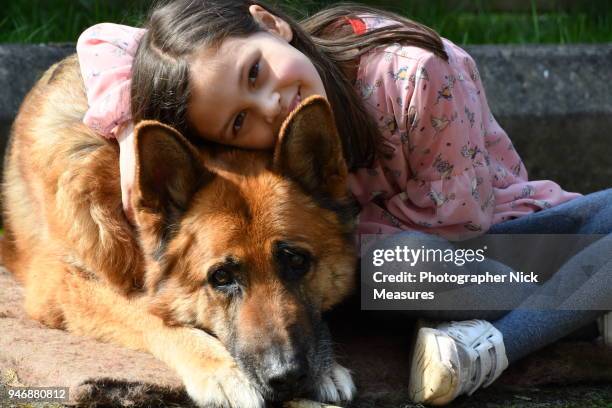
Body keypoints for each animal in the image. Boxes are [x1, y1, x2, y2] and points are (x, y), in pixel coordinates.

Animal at [2, 55, 358, 408]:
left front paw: (328, 369)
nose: (287, 378)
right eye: (220, 277)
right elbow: (147, 314)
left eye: (296, 261)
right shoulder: (59, 283)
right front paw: (221, 370)